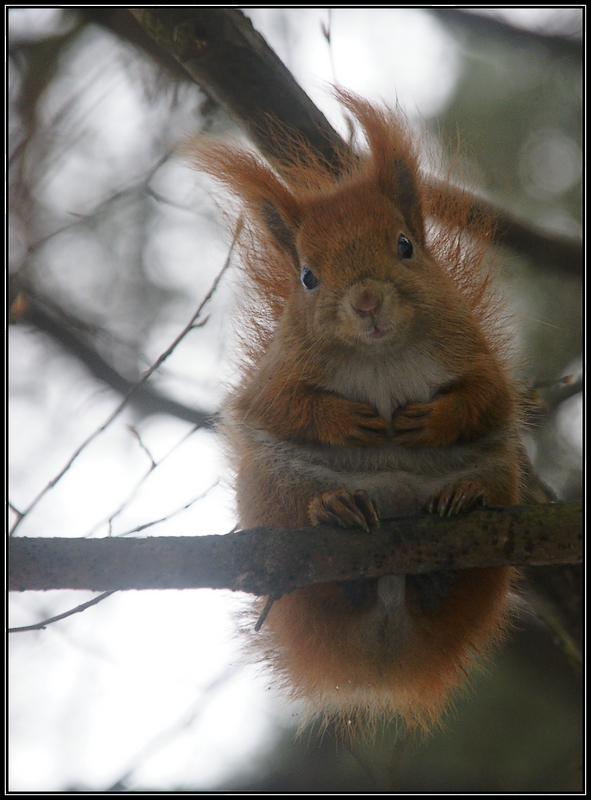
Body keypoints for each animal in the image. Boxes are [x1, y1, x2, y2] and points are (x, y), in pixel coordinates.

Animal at [188, 90, 524, 736]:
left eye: (405, 245)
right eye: (307, 277)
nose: (366, 301)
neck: (380, 354)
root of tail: (382, 656)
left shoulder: (475, 355)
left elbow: (487, 398)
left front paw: (432, 421)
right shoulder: (275, 377)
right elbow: (281, 405)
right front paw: (345, 421)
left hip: (500, 475)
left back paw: (457, 509)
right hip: (271, 487)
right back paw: (334, 509)